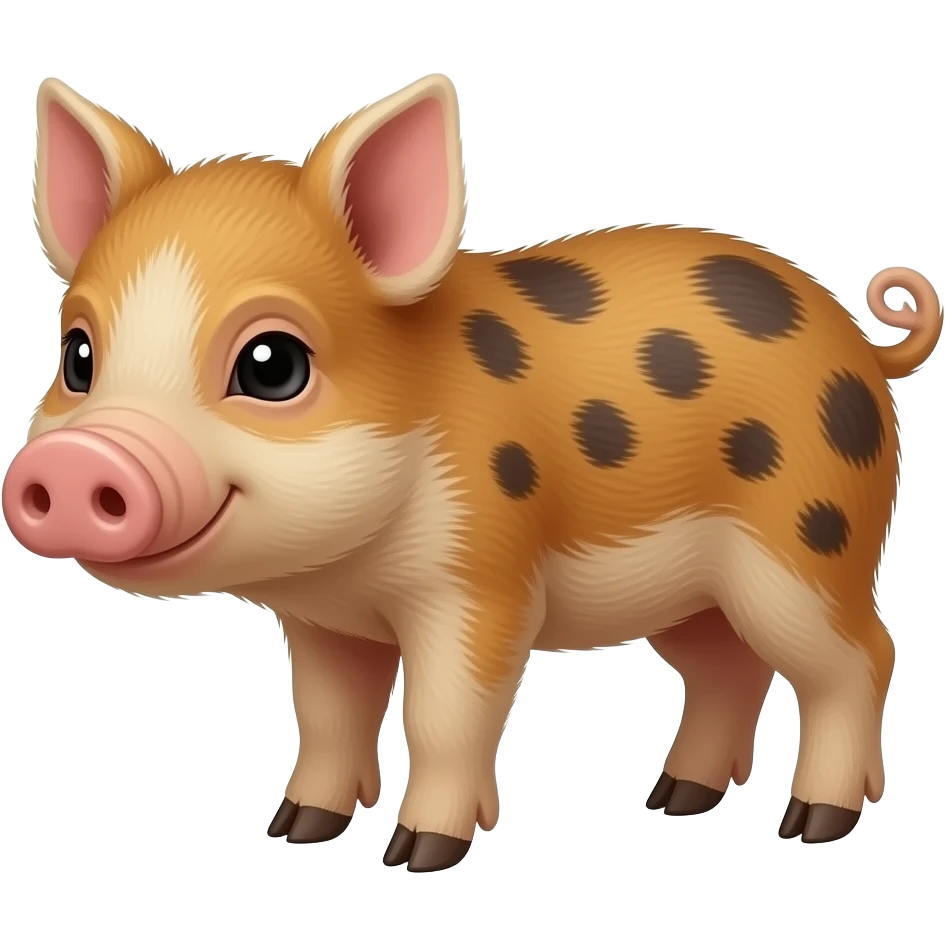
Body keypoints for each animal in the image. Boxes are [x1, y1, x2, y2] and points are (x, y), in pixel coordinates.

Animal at [4, 73, 941, 870]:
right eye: (78, 355)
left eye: (273, 364)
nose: (75, 459)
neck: (351, 570)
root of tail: (863, 346)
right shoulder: (323, 619)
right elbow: (328, 715)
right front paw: (295, 829)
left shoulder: (481, 583)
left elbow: (445, 715)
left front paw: (418, 854)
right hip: (692, 591)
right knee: (726, 667)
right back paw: (672, 800)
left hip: (808, 544)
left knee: (861, 656)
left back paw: (813, 823)